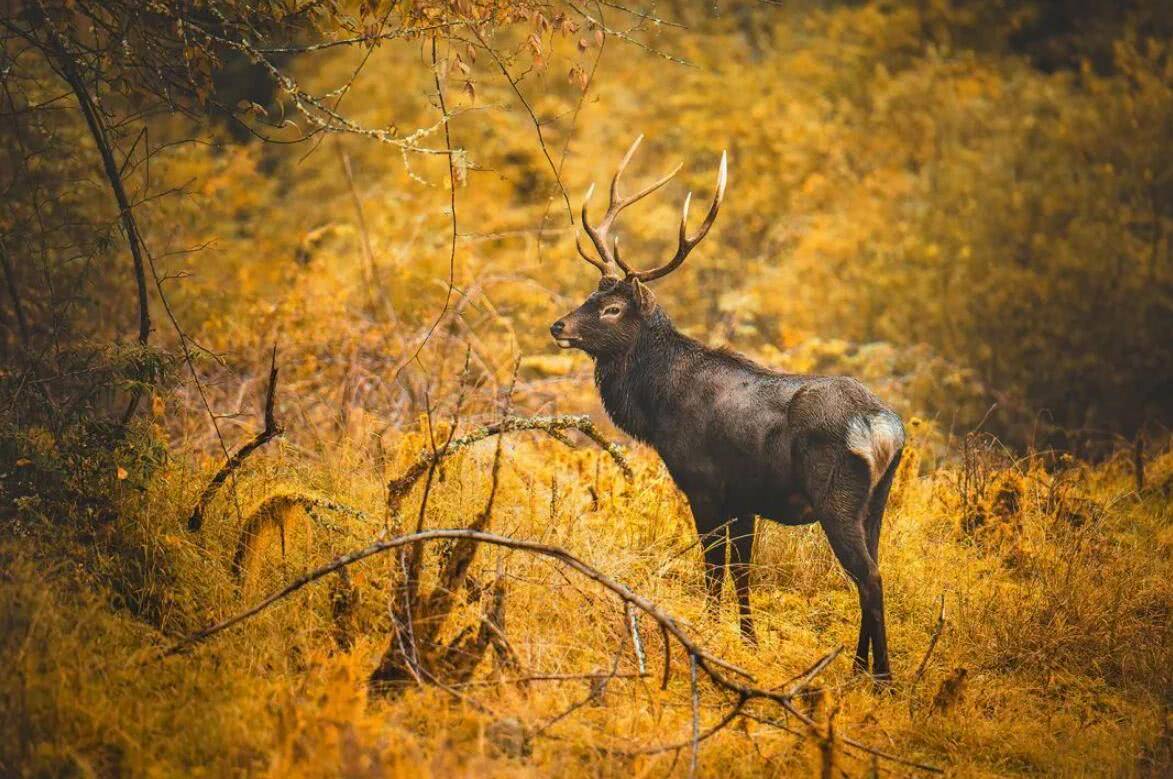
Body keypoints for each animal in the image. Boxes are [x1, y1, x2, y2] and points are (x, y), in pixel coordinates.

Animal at [551, 135, 905, 680]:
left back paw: (879, 677)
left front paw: (710, 633)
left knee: (868, 576)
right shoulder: (745, 497)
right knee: (874, 567)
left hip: (836, 496)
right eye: (589, 295)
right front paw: (749, 640)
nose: (558, 326)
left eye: (611, 308)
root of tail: (882, 428)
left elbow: (713, 569)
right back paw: (860, 667)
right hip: (878, 499)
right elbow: (742, 571)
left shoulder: (704, 485)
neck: (658, 410)